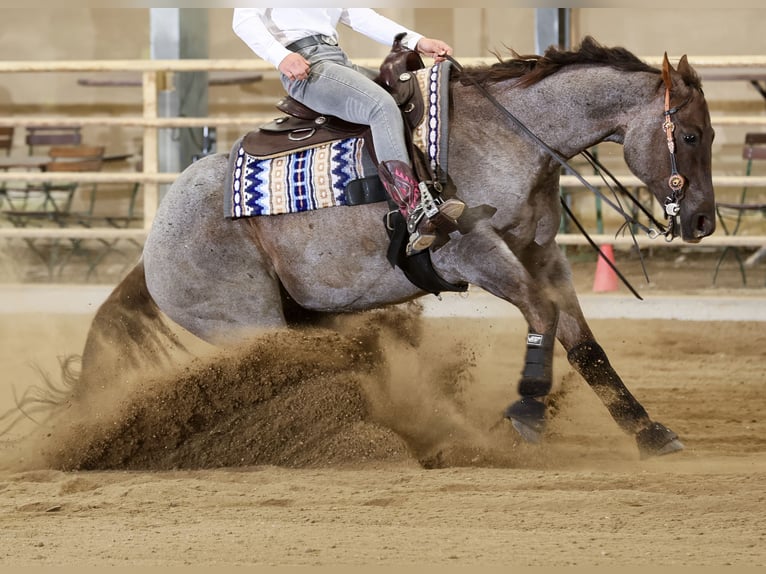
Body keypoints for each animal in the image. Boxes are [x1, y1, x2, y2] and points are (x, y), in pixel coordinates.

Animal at [76, 37, 715, 460]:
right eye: (689, 134)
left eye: (709, 133)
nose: (705, 221)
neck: (503, 136)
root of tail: (153, 244)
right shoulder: (473, 253)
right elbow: (542, 314)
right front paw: (528, 414)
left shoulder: (540, 253)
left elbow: (583, 343)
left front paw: (650, 434)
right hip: (248, 326)